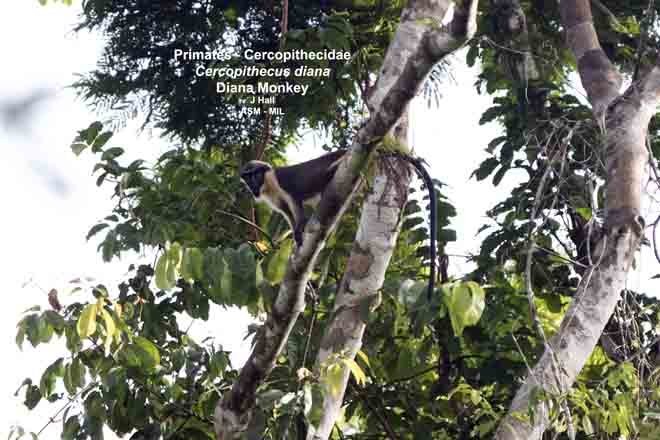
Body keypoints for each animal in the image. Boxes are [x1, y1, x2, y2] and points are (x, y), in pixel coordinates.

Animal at [240, 148, 440, 301]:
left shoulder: (284, 184)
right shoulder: (275, 200)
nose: (252, 185)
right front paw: (296, 236)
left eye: (256, 175)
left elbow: (297, 206)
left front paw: (299, 233)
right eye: (247, 177)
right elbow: (289, 215)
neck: (269, 183)